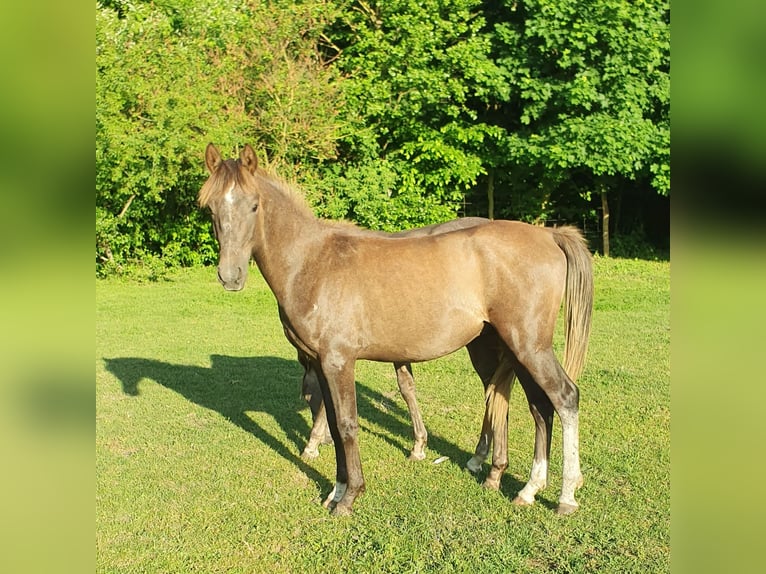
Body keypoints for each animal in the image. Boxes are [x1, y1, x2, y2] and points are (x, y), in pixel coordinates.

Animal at [198, 144, 592, 516]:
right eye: (211, 209)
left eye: (254, 206)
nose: (230, 276)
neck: (314, 264)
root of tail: (549, 235)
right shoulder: (323, 364)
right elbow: (335, 428)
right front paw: (336, 490)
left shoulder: (338, 361)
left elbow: (346, 425)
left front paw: (349, 498)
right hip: (513, 347)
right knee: (535, 405)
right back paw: (525, 488)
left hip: (529, 346)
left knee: (564, 397)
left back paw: (566, 496)